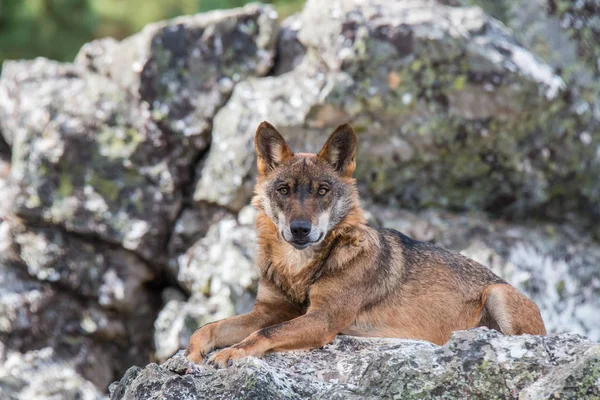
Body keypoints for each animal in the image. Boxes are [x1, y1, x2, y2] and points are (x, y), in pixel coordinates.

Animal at [185, 122, 548, 368]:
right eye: (284, 190)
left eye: (322, 191)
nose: (300, 229)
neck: (299, 270)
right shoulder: (268, 311)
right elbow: (208, 327)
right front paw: (190, 355)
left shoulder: (323, 320)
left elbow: (264, 335)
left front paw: (231, 352)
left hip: (498, 294)